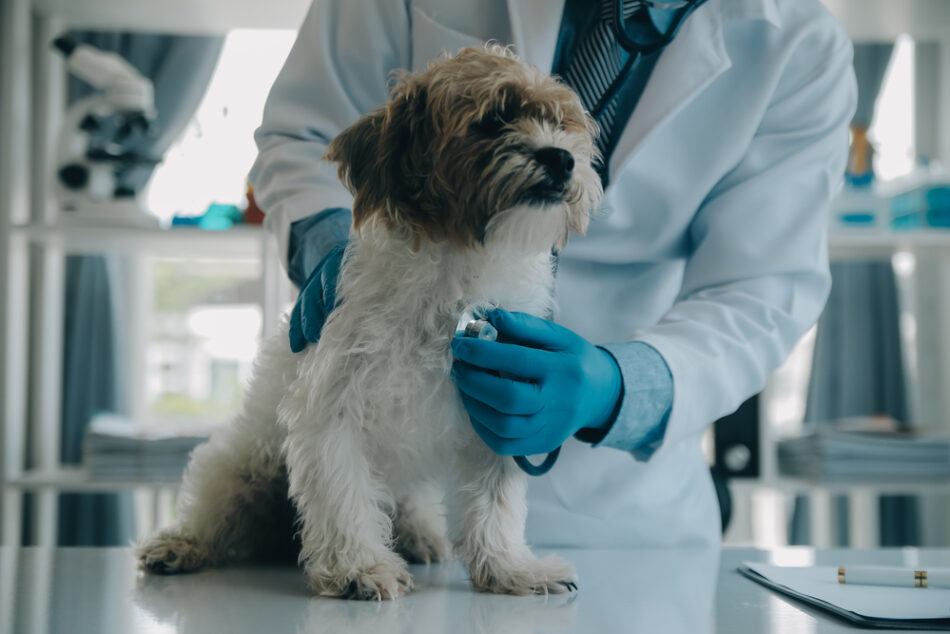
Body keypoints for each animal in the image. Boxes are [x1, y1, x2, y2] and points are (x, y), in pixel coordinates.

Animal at [138, 47, 604, 600]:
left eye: (560, 122)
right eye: (493, 119)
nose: (562, 158)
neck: (458, 273)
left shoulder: (500, 410)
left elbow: (497, 505)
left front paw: (511, 569)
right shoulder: (333, 409)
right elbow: (343, 494)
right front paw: (357, 568)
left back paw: (420, 534)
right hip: (240, 467)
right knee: (213, 508)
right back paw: (180, 544)